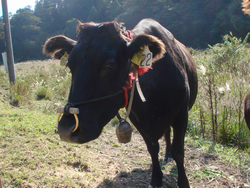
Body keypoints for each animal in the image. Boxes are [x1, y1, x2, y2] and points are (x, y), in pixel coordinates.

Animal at [44, 18, 198, 188]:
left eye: (109, 66)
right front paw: (156, 178)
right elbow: (152, 148)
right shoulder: (137, 120)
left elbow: (179, 152)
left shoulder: (182, 113)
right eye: (69, 64)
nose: (66, 129)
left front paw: (183, 182)